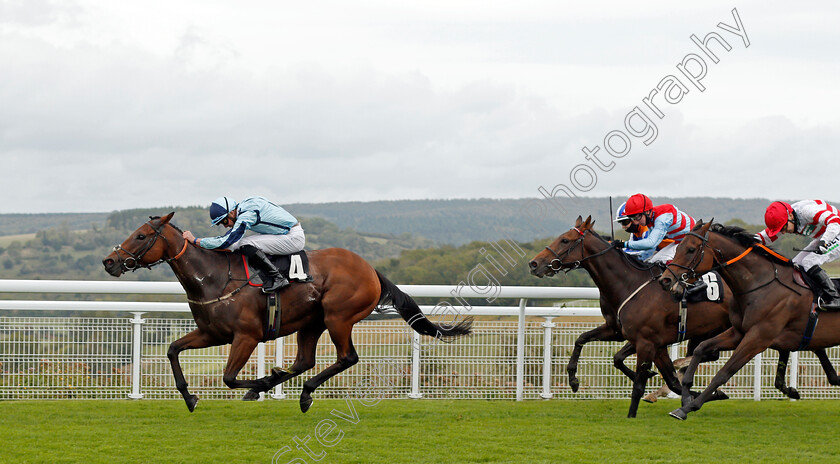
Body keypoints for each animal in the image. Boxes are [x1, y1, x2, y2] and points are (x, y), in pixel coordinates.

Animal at [102, 212, 472, 412]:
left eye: (141, 236)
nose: (109, 261)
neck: (214, 277)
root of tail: (370, 269)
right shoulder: (212, 333)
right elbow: (173, 349)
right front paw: (190, 397)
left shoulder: (246, 336)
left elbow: (228, 377)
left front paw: (261, 381)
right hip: (311, 323)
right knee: (305, 361)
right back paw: (295, 390)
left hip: (338, 317)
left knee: (347, 358)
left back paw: (294, 389)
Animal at [532, 217, 736, 416]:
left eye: (565, 240)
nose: (534, 264)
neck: (630, 283)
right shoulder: (623, 333)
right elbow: (585, 340)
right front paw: (573, 380)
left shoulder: (646, 341)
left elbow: (640, 383)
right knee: (707, 355)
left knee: (709, 354)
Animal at [664, 221, 840, 420]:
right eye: (678, 247)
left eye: (691, 249)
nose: (667, 280)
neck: (760, 284)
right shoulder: (739, 332)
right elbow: (701, 348)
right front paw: (685, 395)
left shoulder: (757, 339)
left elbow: (724, 372)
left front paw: (690, 406)